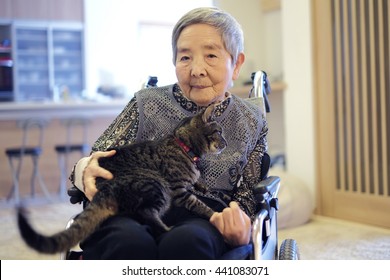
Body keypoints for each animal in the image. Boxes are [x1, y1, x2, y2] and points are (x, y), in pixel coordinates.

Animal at [16, 104, 227, 255]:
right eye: (219, 132)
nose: (225, 143)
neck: (185, 147)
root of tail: (104, 188)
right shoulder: (179, 191)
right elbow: (200, 205)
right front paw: (215, 215)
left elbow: (198, 183)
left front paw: (202, 185)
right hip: (155, 185)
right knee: (147, 212)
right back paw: (167, 229)